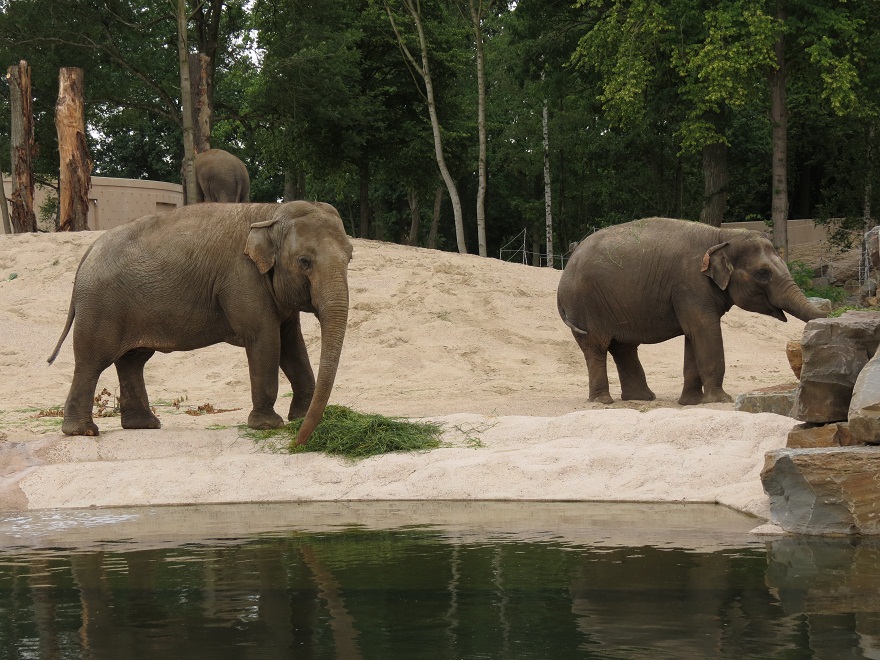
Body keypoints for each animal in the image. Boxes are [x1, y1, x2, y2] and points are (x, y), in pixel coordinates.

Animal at [48, 200, 353, 445]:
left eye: (350, 257)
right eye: (304, 261)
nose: (298, 443)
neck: (270, 214)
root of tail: (88, 252)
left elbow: (292, 346)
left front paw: (302, 418)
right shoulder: (243, 279)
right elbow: (265, 340)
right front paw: (269, 425)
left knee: (132, 361)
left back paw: (143, 425)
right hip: (100, 307)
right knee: (92, 361)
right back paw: (83, 432)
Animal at [556, 217, 827, 406]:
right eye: (763, 273)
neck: (722, 235)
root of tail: (567, 267)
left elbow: (693, 336)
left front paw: (690, 402)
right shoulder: (689, 284)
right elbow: (704, 330)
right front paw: (720, 400)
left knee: (623, 347)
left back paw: (642, 398)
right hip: (586, 306)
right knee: (597, 347)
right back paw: (603, 401)